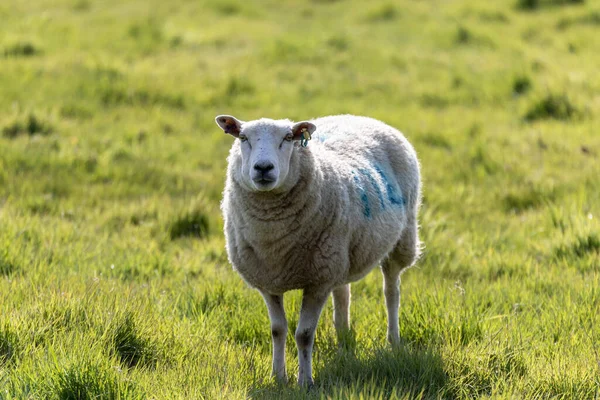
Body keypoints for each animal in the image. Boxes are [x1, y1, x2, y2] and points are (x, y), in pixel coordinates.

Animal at [217, 113, 422, 388]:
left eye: (288, 138)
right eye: (242, 137)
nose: (263, 168)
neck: (273, 241)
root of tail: (358, 116)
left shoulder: (317, 282)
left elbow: (304, 334)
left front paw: (305, 381)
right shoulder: (269, 281)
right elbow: (277, 330)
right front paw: (278, 377)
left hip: (400, 240)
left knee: (391, 291)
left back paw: (393, 341)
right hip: (339, 254)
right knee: (343, 293)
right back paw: (343, 339)